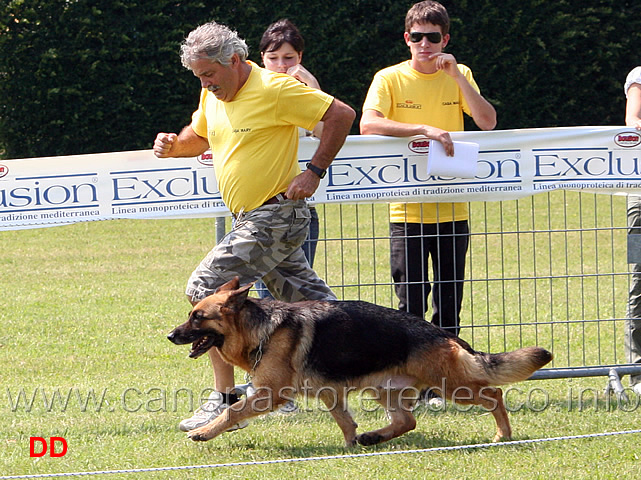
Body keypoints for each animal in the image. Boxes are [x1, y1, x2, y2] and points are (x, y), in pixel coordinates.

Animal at [168, 278, 552, 446]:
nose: (170, 335)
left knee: (494, 395)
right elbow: (344, 420)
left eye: (197, 317)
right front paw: (352, 442)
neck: (261, 329)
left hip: (452, 386)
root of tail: (444, 334)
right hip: (384, 390)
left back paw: (503, 434)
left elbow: (232, 410)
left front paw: (205, 432)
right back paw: (373, 438)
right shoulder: (330, 392)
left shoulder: (270, 394)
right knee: (407, 421)